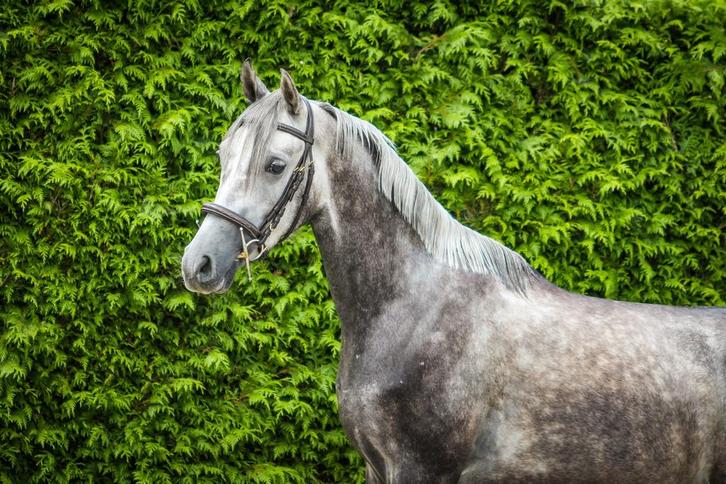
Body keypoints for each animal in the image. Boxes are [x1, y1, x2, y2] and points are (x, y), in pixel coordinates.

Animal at [181, 62, 726, 483]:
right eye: (223, 155)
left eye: (275, 165)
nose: (198, 264)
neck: (416, 308)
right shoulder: (377, 468)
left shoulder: (421, 469)